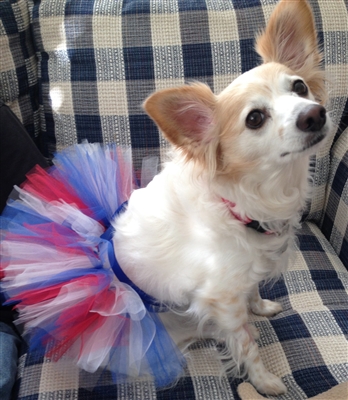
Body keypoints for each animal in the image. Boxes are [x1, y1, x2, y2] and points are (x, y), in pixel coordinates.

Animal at [111, 0, 332, 394]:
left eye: (300, 87)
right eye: (255, 118)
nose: (314, 114)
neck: (245, 205)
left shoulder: (246, 274)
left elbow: (253, 290)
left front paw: (260, 307)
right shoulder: (221, 300)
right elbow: (246, 342)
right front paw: (264, 381)